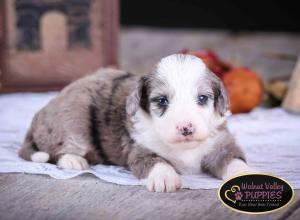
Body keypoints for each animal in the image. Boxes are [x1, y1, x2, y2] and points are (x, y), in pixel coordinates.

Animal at [18, 54, 253, 192]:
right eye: (162, 101)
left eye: (203, 98)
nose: (186, 128)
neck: (184, 149)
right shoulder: (139, 148)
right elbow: (154, 161)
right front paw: (165, 177)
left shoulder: (220, 143)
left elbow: (233, 159)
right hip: (73, 117)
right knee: (60, 148)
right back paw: (73, 160)